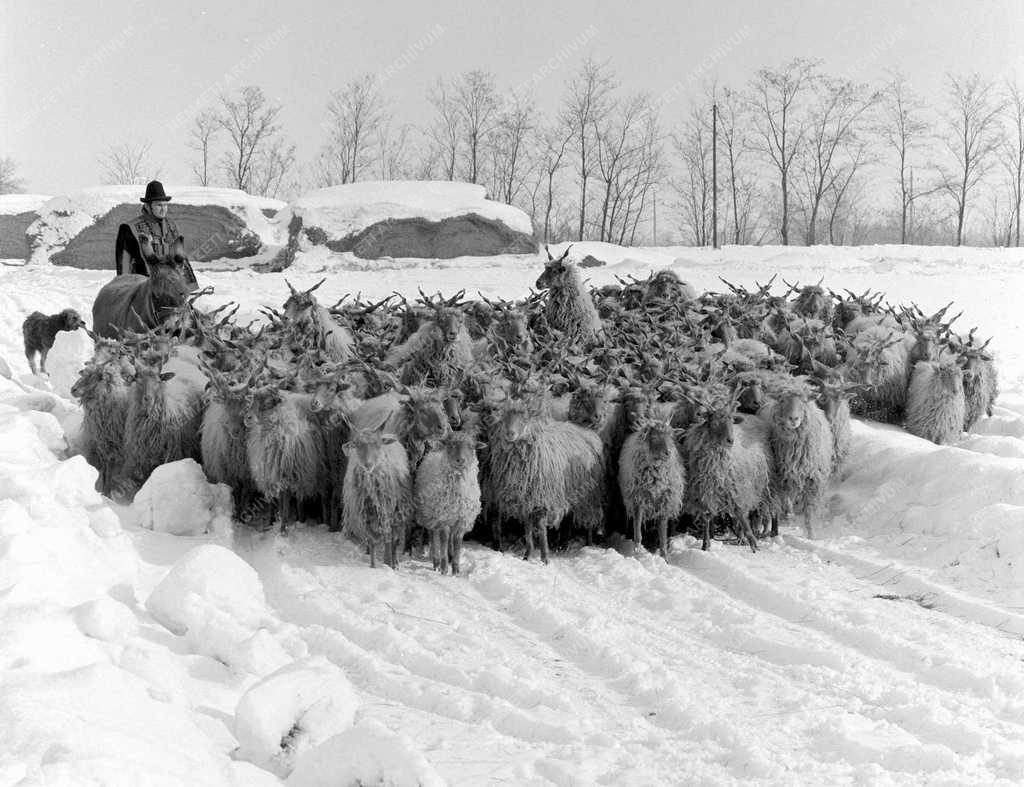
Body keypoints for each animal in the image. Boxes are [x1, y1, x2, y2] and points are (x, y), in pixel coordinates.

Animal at [339, 425, 411, 569]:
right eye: (356, 444)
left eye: (378, 445)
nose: (368, 465)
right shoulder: (364, 514)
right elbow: (371, 541)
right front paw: (373, 567)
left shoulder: (386, 512)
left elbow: (389, 538)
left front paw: (388, 564)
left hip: (397, 511)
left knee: (395, 539)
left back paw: (395, 562)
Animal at [413, 425, 481, 573]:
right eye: (451, 445)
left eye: (471, 446)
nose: (460, 460)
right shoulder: (443, 517)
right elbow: (443, 538)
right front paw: (444, 568)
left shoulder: (462, 519)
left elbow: (457, 541)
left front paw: (455, 569)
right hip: (431, 514)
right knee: (434, 535)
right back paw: (436, 562)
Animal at [614, 413, 688, 556]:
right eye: (653, 437)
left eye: (670, 438)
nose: (668, 453)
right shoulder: (637, 499)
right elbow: (637, 532)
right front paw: (637, 552)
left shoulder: (665, 501)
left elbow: (663, 535)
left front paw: (664, 557)